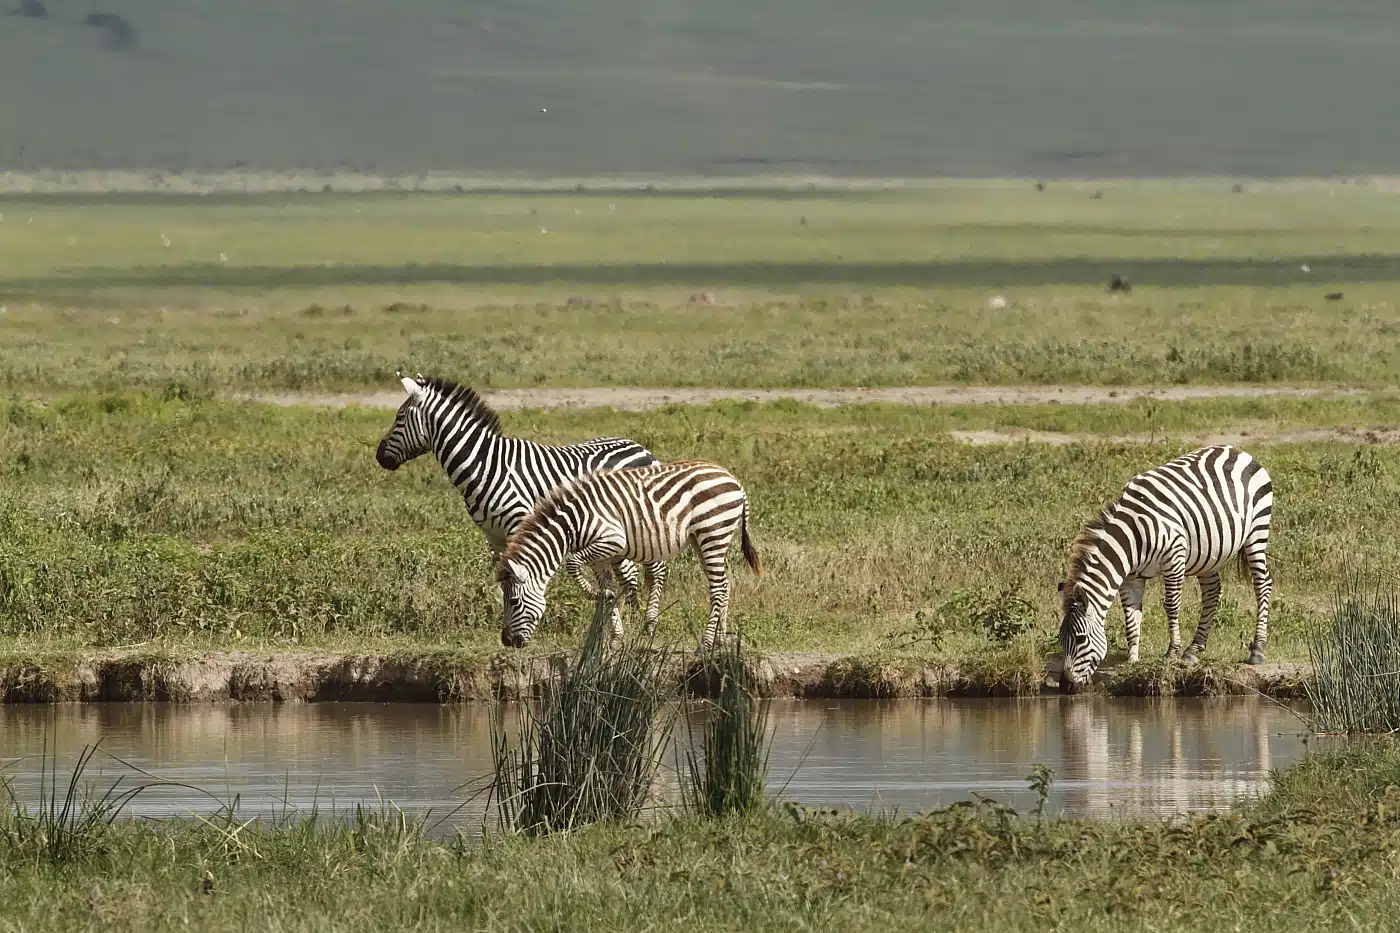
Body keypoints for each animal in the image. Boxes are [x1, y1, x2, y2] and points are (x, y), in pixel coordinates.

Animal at [375, 374, 668, 632]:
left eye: (399, 417)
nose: (379, 456)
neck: (485, 466)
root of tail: (640, 447)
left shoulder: (520, 523)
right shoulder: (492, 536)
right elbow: (503, 575)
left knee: (655, 570)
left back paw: (648, 622)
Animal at [497, 460, 763, 649]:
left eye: (513, 601)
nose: (506, 641)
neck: (573, 523)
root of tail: (733, 480)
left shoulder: (612, 540)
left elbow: (572, 563)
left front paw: (596, 594)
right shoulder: (601, 557)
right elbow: (608, 590)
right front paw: (615, 633)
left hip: (712, 533)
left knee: (717, 588)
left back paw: (707, 643)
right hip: (702, 540)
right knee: (725, 585)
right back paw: (720, 638)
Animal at [1057, 444, 1273, 693]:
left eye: (1081, 639)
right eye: (1060, 640)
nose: (1064, 686)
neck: (1131, 538)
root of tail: (1236, 450)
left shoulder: (1174, 558)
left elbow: (1171, 606)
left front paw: (1171, 653)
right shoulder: (1131, 577)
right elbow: (1131, 616)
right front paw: (1132, 660)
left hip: (1256, 532)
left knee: (1263, 585)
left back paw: (1257, 650)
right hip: (1210, 552)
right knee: (1212, 593)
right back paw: (1194, 650)